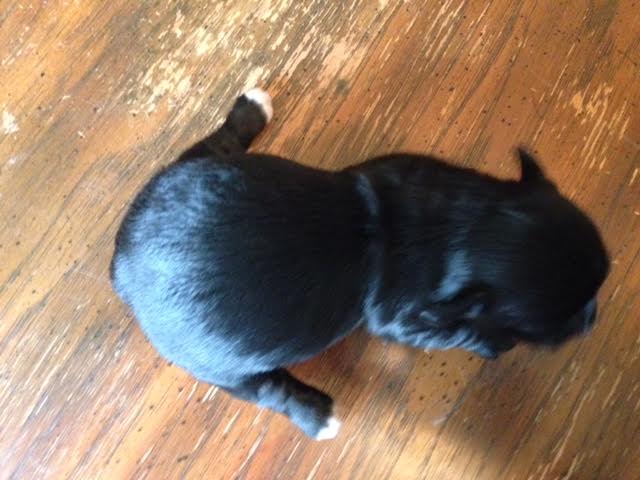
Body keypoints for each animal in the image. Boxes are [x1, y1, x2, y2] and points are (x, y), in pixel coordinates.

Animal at [110, 88, 609, 439]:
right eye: (559, 321)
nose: (593, 318)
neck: (461, 224)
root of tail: (124, 264)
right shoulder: (404, 320)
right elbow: (456, 332)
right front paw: (494, 343)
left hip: (184, 172)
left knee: (213, 146)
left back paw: (251, 109)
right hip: (216, 363)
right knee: (267, 390)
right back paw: (318, 416)